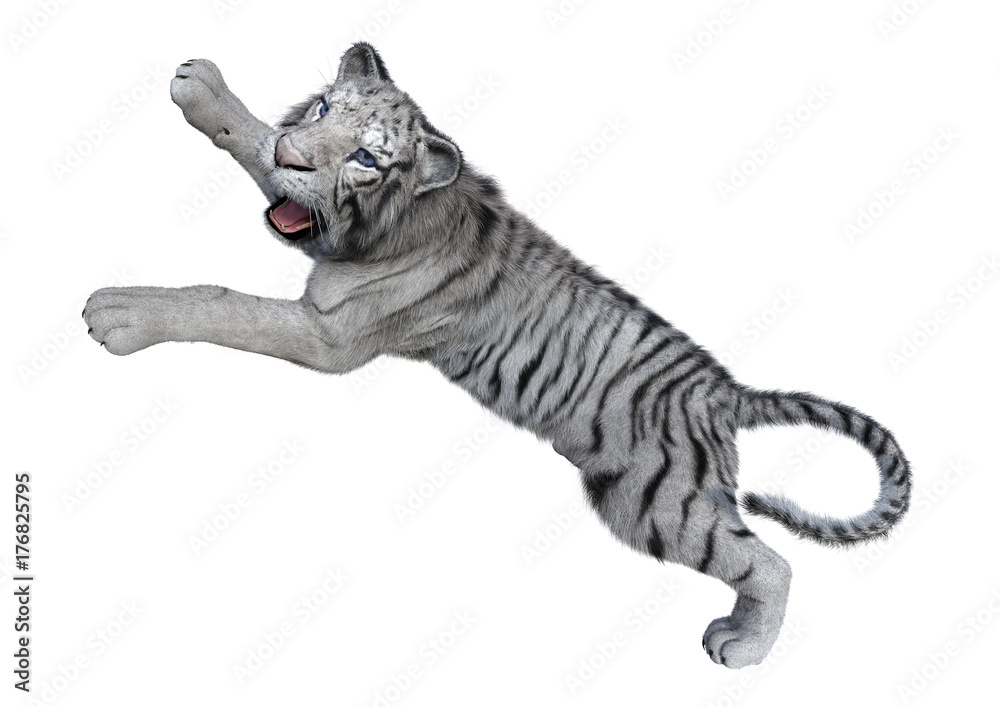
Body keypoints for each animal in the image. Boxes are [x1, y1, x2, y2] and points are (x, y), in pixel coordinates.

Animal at [82, 43, 912, 668]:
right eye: (320, 111)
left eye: (364, 157)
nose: (296, 153)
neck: (383, 218)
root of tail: (723, 390)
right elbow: (253, 143)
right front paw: (205, 91)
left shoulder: (328, 333)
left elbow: (220, 301)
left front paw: (120, 310)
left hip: (654, 501)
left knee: (770, 562)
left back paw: (743, 645)